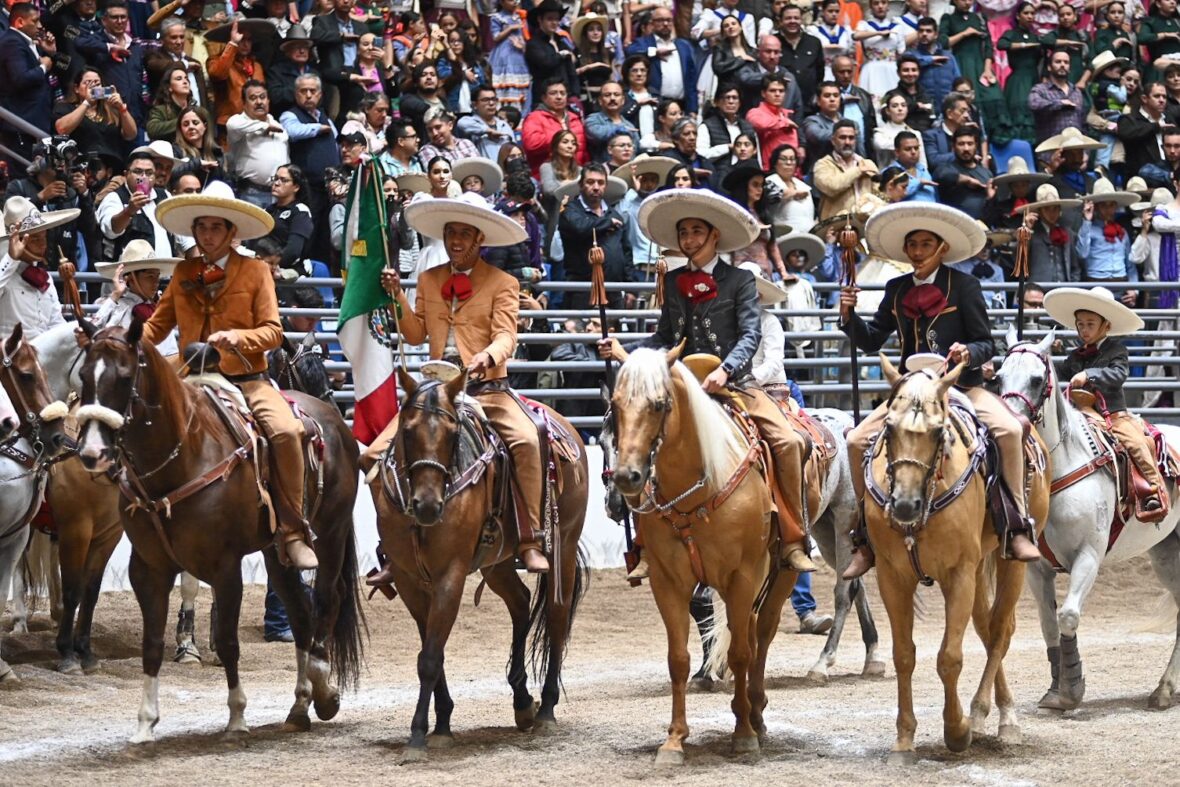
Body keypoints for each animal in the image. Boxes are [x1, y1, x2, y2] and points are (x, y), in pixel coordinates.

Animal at [73, 320, 361, 745]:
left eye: (125, 377)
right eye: (83, 375)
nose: (92, 452)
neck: (183, 455)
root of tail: (334, 422)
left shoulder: (225, 567)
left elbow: (227, 640)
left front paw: (237, 717)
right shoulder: (148, 569)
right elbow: (151, 643)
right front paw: (145, 722)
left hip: (330, 534)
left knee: (327, 600)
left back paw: (324, 690)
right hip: (278, 552)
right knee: (300, 613)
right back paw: (299, 705)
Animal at [370, 370, 587, 764]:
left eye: (452, 432)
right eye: (407, 431)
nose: (427, 505)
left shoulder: (450, 576)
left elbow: (430, 658)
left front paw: (418, 736)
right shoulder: (410, 581)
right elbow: (431, 651)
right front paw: (442, 723)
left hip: (563, 545)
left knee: (557, 614)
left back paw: (546, 709)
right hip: (496, 562)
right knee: (520, 602)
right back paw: (523, 702)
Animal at [608, 346, 792, 764]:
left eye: (659, 404)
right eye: (615, 404)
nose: (626, 477)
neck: (698, 488)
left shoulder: (742, 576)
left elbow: (740, 653)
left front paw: (743, 736)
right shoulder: (668, 582)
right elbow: (678, 659)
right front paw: (675, 739)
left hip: (778, 575)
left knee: (762, 635)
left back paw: (756, 714)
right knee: (750, 633)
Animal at [868, 356, 1052, 764]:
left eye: (939, 432)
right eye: (888, 427)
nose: (905, 505)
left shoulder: (959, 574)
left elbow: (949, 658)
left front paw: (956, 731)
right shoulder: (892, 576)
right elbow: (904, 655)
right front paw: (904, 739)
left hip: (1010, 561)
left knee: (1000, 631)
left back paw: (998, 718)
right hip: (980, 565)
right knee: (986, 628)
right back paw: (990, 713)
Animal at [995, 330, 1180, 712]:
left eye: (1037, 379)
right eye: (999, 377)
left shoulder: (1089, 557)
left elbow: (1068, 615)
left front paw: (1072, 691)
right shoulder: (1038, 568)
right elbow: (1049, 624)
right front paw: (1056, 691)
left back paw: (1164, 690)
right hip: (1167, 553)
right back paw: (1164, 690)